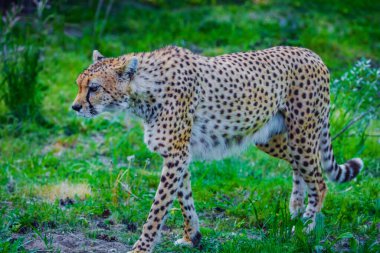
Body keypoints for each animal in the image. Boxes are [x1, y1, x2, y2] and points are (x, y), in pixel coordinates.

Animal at [70, 46, 362, 252]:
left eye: (94, 87)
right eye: (79, 85)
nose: (75, 107)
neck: (143, 90)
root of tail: (312, 53)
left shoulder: (176, 154)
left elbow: (158, 208)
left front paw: (141, 248)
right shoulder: (179, 153)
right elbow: (184, 198)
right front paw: (192, 237)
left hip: (303, 134)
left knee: (320, 182)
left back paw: (306, 228)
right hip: (272, 137)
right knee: (301, 168)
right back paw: (295, 210)